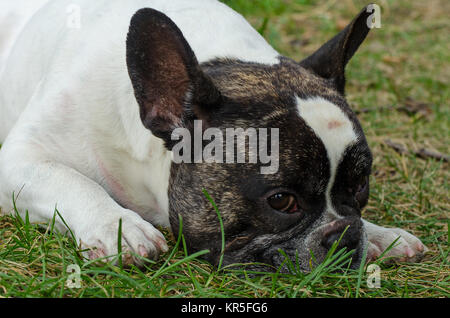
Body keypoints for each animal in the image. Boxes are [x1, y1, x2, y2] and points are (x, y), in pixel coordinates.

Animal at [0, 0, 428, 272]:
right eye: (281, 201)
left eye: (360, 186)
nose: (344, 236)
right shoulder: (19, 158)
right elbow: (71, 180)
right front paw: (118, 227)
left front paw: (378, 234)